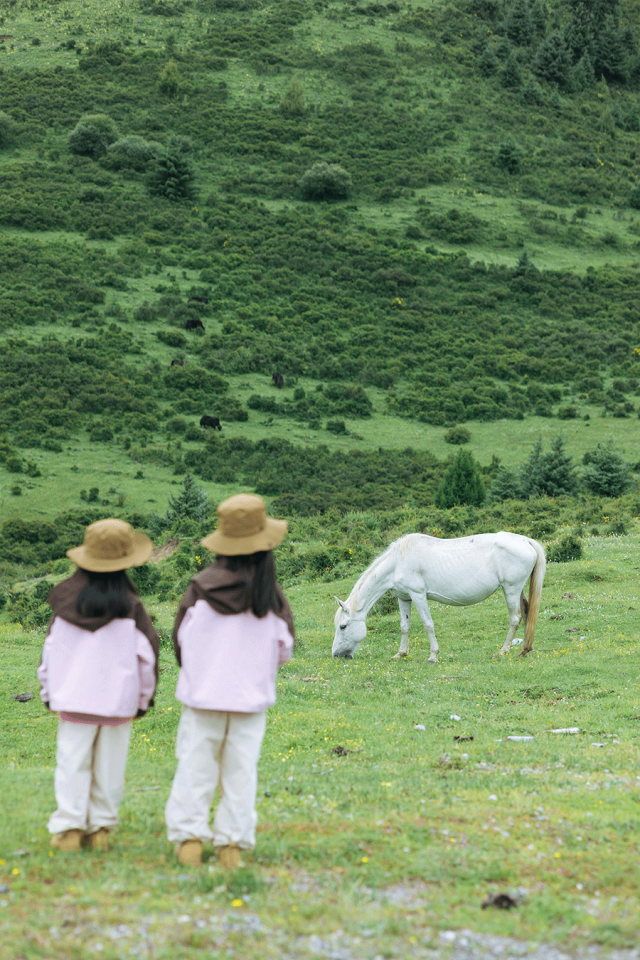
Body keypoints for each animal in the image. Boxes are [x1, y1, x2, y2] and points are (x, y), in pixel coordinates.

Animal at [332, 528, 548, 664]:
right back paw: (525, 650)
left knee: (515, 618)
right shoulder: (404, 598)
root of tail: (525, 540)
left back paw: (503, 651)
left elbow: (428, 624)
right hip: (517, 590)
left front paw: (433, 656)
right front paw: (401, 654)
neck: (398, 562)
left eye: (343, 626)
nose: (336, 655)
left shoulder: (418, 595)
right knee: (527, 612)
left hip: (511, 589)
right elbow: (404, 626)